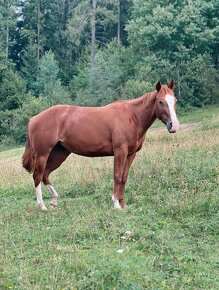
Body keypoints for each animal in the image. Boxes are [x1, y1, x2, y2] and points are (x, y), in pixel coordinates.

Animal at [22, 80, 180, 210]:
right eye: (160, 101)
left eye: (174, 100)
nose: (174, 125)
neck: (132, 116)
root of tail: (34, 119)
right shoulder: (120, 151)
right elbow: (117, 176)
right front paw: (116, 204)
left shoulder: (131, 154)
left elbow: (124, 177)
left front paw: (123, 203)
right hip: (43, 154)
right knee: (37, 175)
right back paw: (42, 206)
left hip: (60, 153)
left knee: (45, 174)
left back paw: (54, 200)